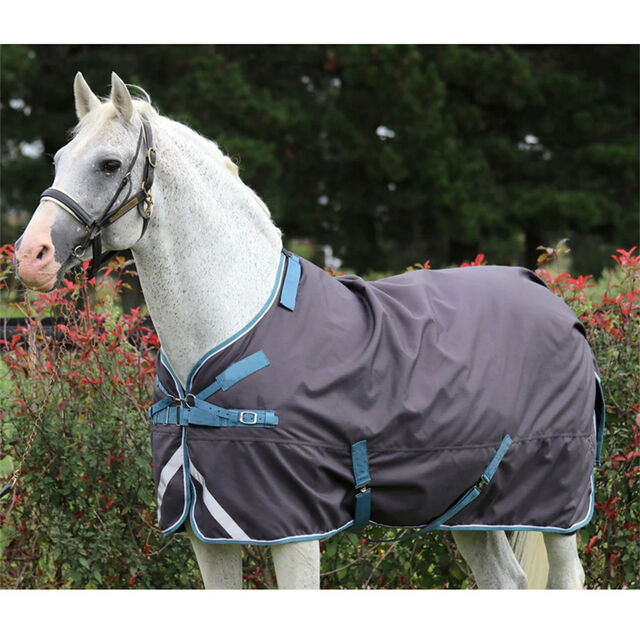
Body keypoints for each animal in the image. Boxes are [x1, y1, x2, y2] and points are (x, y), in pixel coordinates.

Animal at [13, 72, 601, 589]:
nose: (30, 256)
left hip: (556, 504)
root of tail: (548, 295)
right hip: (469, 504)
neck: (229, 326)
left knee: (567, 578)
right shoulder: (204, 531)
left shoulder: (294, 530)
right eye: (59, 160)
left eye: (110, 164)